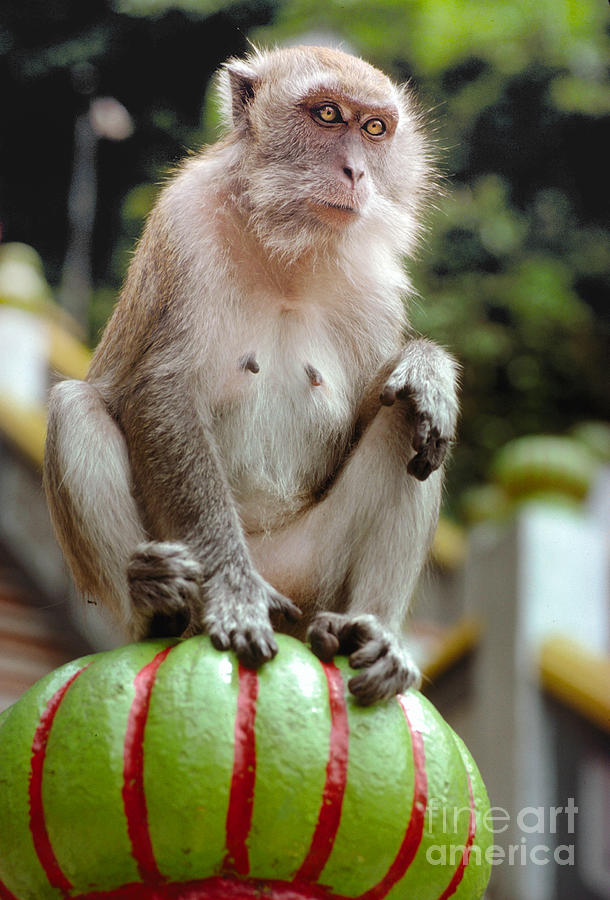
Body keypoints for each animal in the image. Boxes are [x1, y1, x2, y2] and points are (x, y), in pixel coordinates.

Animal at [44, 45, 456, 704]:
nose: (356, 173)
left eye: (374, 128)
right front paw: (234, 591)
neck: (285, 247)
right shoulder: (185, 222)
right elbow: (163, 393)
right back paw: (155, 605)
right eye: (327, 114)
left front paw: (429, 370)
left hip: (311, 571)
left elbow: (377, 410)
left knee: (406, 423)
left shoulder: (375, 284)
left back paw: (369, 634)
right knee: (73, 407)